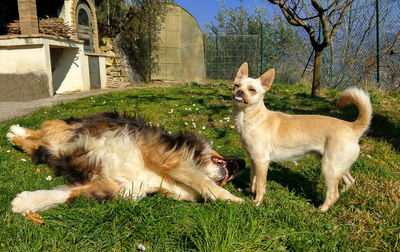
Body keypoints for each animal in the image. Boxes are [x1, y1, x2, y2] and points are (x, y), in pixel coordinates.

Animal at [6, 111, 244, 216]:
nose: (242, 162)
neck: (161, 176)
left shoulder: (115, 186)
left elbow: (67, 194)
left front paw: (26, 202)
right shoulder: (166, 156)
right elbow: (205, 183)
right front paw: (237, 200)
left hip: (49, 151)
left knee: (36, 144)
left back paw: (15, 136)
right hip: (71, 129)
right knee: (45, 130)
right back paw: (16, 130)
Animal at [231, 62, 372, 211]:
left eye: (252, 90)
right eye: (236, 85)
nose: (239, 92)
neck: (250, 119)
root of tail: (352, 127)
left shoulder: (261, 161)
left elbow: (260, 185)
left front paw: (257, 202)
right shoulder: (253, 160)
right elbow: (252, 178)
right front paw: (249, 191)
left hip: (329, 168)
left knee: (333, 194)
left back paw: (321, 210)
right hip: (339, 167)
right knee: (349, 181)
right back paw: (343, 195)